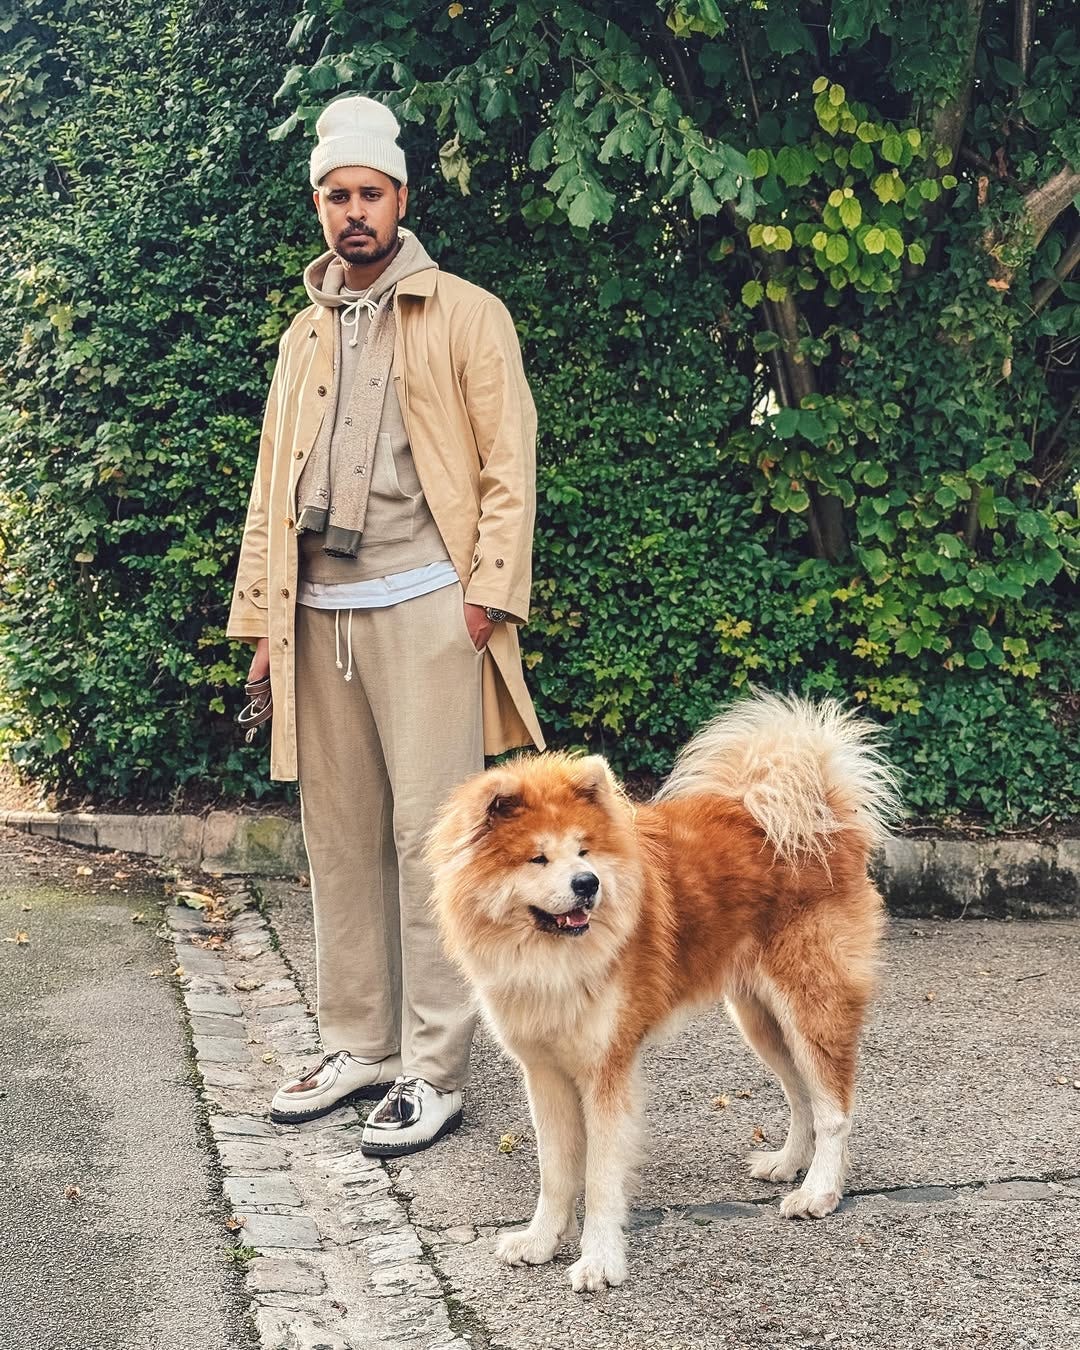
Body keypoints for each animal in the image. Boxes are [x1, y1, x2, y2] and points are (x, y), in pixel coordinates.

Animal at [426, 691, 896, 1290]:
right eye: (538, 857)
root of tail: (823, 816)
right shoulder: (545, 1070)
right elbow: (555, 1171)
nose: (588, 885)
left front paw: (599, 1260)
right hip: (760, 1018)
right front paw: (541, 1240)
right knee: (802, 1096)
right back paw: (789, 1164)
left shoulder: (607, 1070)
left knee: (833, 1107)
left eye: (584, 852)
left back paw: (818, 1192)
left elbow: (601, 1177)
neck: (551, 957)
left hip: (809, 1005)